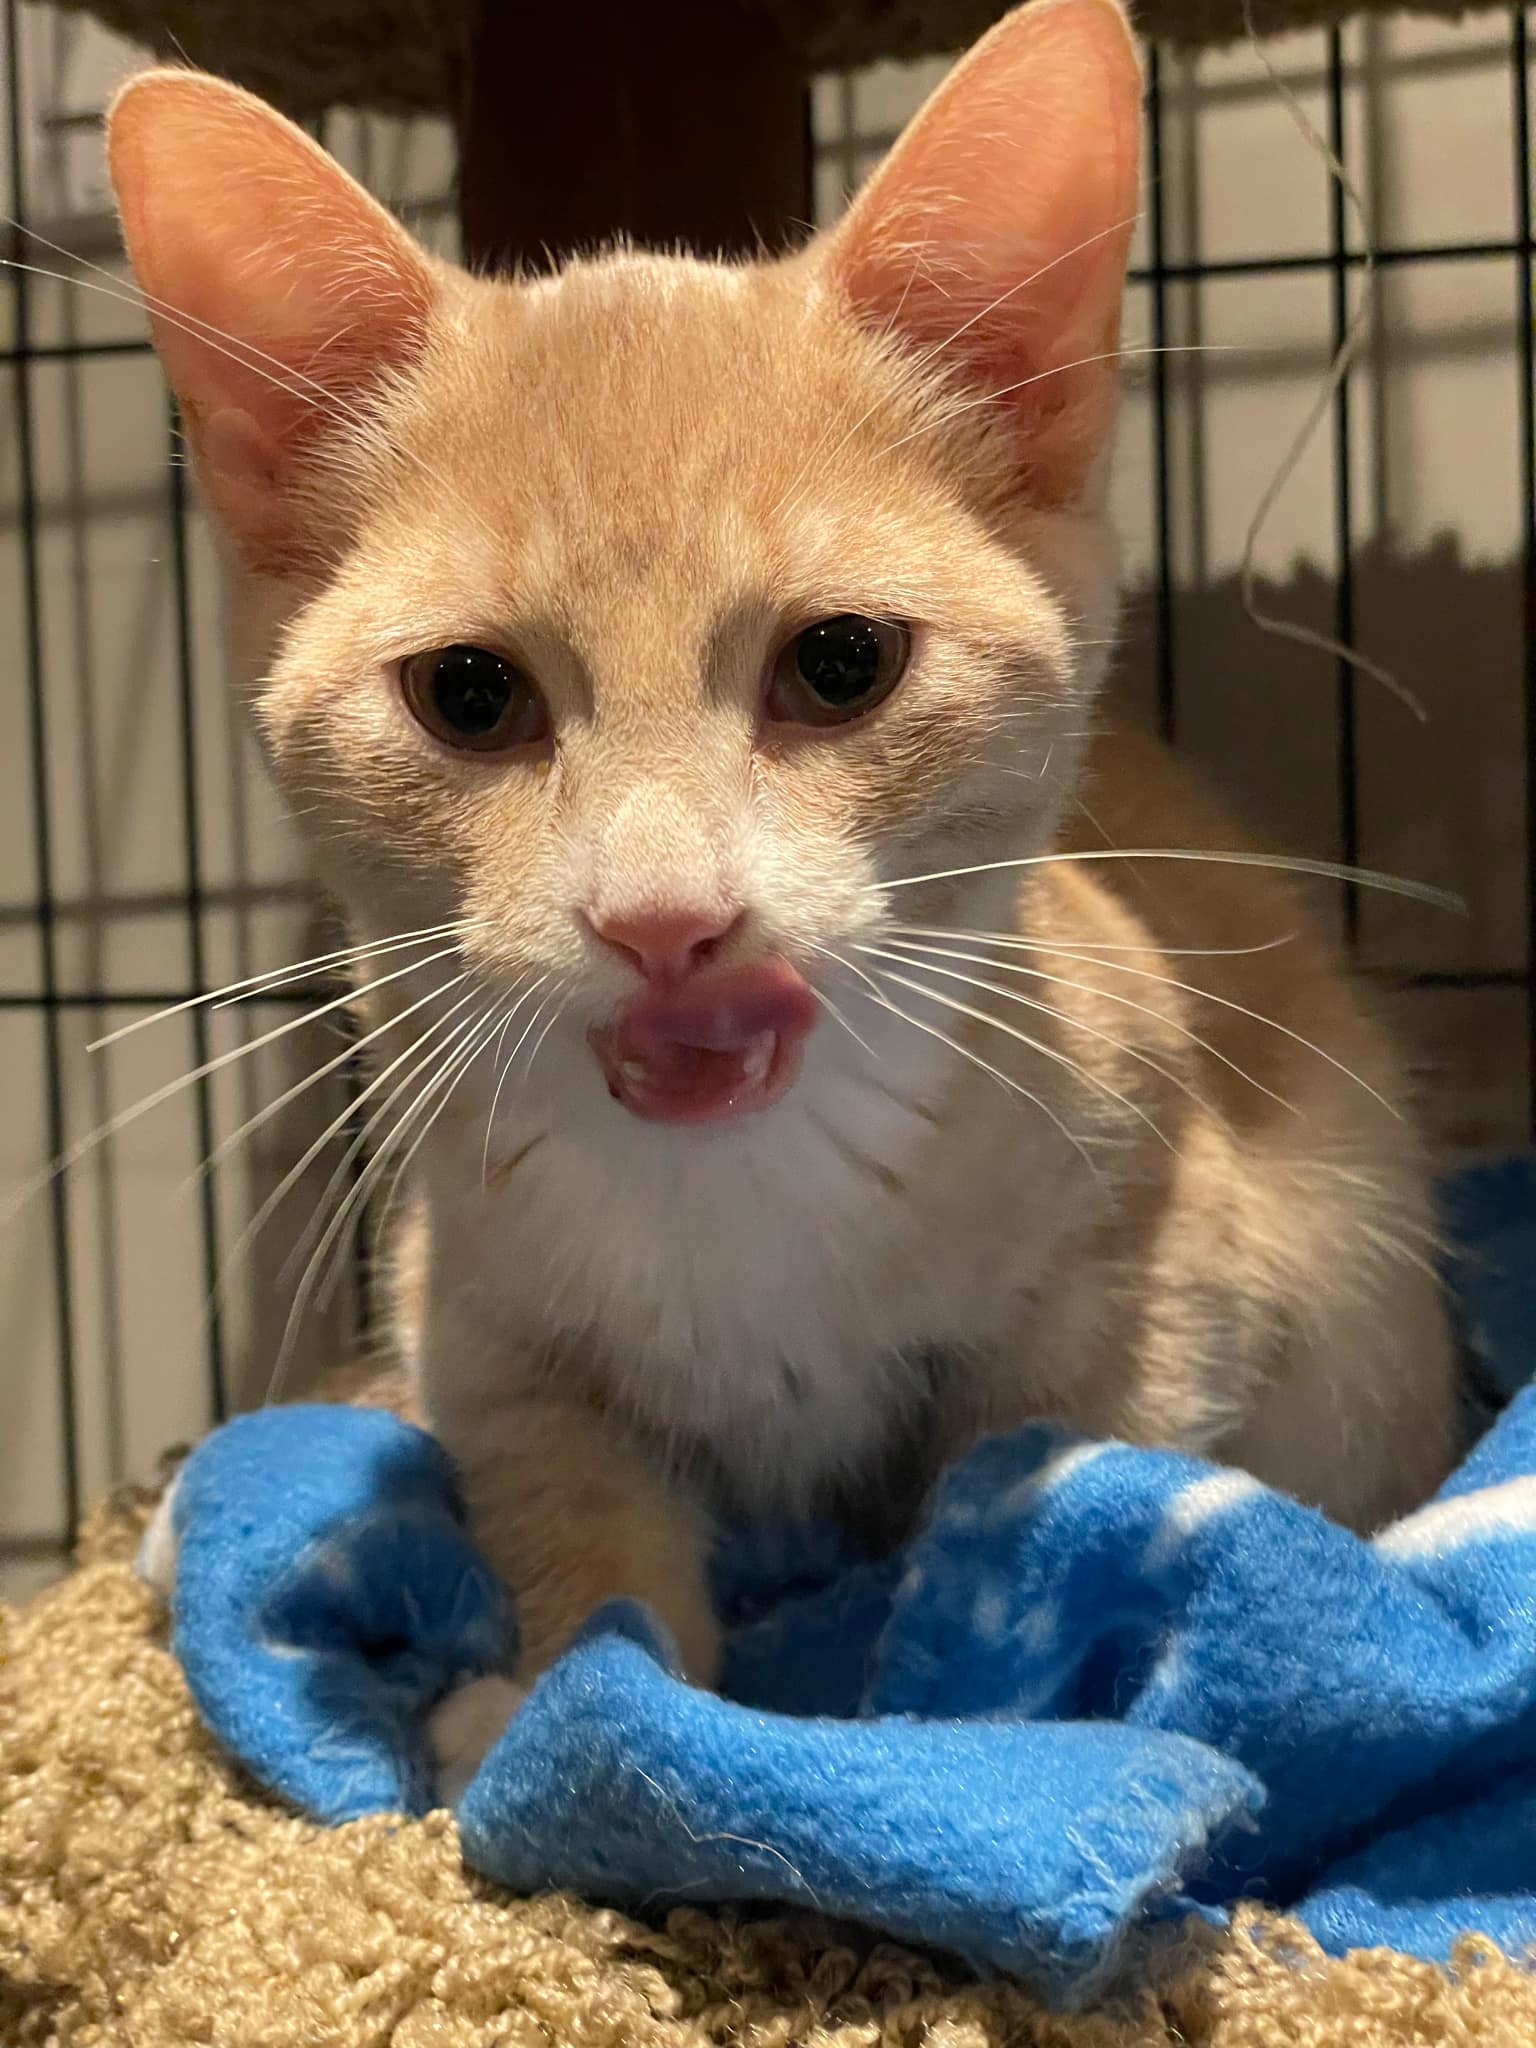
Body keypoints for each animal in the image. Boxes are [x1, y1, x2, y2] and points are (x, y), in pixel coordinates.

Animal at [108, 0, 1458, 1794]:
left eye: (841, 663)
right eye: (466, 693)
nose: (662, 917)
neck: (741, 1197)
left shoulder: (1165, 1238)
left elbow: (1053, 1476)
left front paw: (971, 1709)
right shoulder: (477, 1310)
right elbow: (573, 1509)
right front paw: (565, 1695)